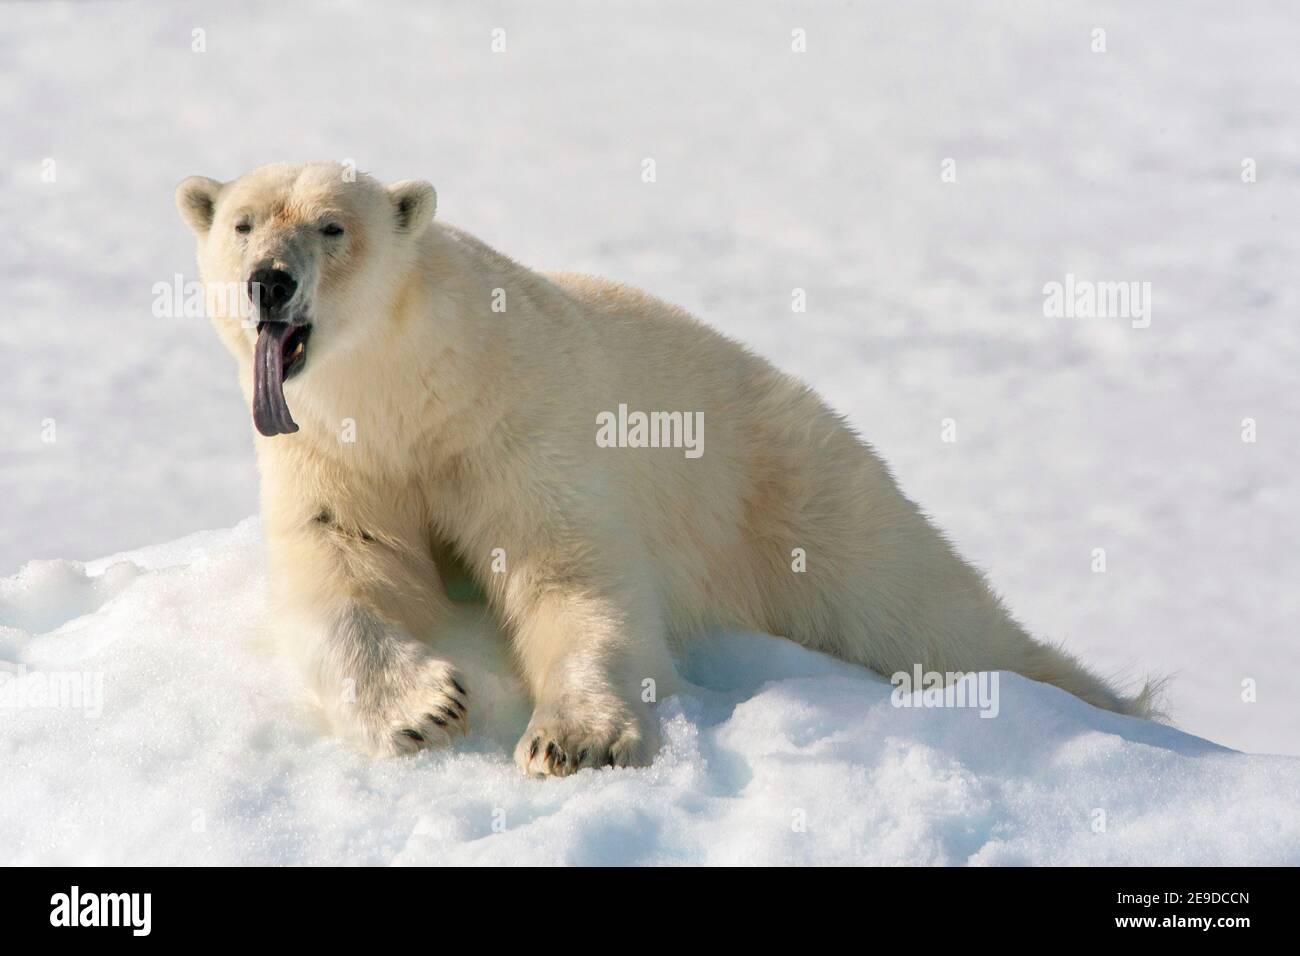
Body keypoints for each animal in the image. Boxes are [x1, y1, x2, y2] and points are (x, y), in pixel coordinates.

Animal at [175, 162, 1159, 780]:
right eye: (242, 223)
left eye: (333, 225)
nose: (269, 280)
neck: (409, 395)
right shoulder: (330, 452)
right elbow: (339, 571)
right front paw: (421, 707)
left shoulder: (513, 425)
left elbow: (570, 574)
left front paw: (572, 739)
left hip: (790, 485)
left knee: (918, 610)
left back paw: (1107, 703)